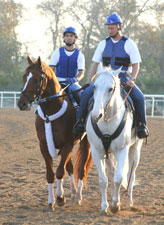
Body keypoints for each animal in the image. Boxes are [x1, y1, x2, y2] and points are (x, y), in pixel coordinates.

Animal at [18, 56, 92, 211]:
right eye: (24, 77)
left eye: (36, 80)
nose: (21, 103)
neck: (50, 112)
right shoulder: (44, 145)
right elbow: (51, 174)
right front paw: (51, 201)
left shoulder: (67, 145)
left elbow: (59, 171)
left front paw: (60, 198)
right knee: (70, 167)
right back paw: (73, 193)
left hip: (85, 142)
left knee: (81, 169)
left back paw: (78, 197)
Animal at [86, 68, 144, 213]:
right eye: (94, 87)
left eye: (110, 89)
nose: (96, 115)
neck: (107, 121)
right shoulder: (97, 151)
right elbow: (103, 180)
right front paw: (104, 206)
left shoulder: (122, 150)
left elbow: (119, 178)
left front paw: (115, 205)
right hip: (108, 153)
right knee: (112, 173)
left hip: (135, 150)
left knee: (131, 175)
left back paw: (129, 201)